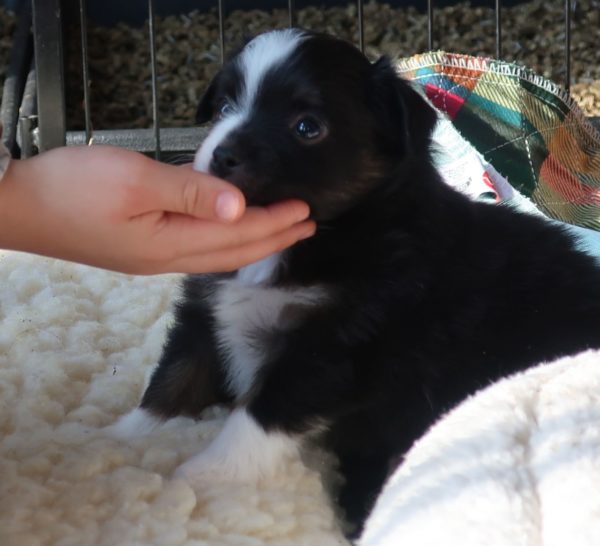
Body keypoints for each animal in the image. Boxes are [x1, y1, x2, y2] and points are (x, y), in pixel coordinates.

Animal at [115, 27, 600, 532]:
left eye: (307, 127)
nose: (222, 155)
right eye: (226, 106)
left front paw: (207, 473)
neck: (331, 229)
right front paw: (124, 438)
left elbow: (261, 413)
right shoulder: (208, 305)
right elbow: (175, 377)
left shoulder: (338, 343)